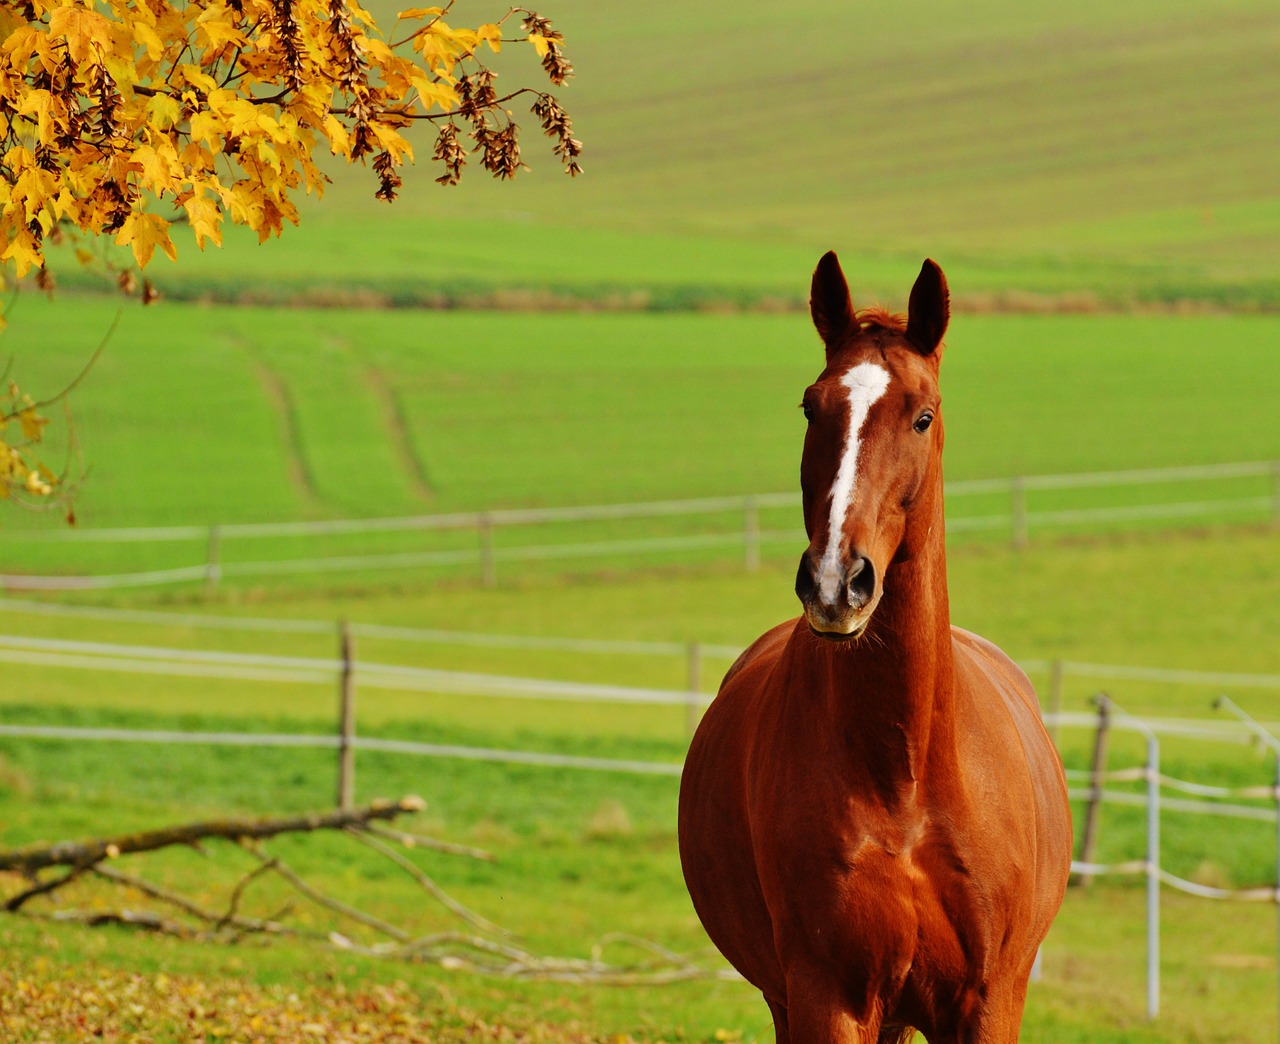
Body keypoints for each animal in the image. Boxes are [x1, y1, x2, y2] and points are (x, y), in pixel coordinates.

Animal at [680, 254, 1070, 1044]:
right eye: (811, 408)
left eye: (922, 415)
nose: (837, 581)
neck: (906, 775)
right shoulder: (828, 997)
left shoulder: (989, 1001)